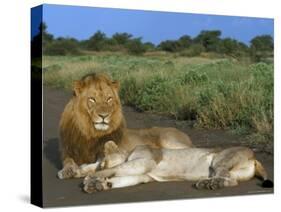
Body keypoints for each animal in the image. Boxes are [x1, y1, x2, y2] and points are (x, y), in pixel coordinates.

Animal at [57, 73, 191, 179]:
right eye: (92, 99)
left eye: (109, 99)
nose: (104, 116)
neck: (90, 133)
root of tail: (184, 134)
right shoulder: (68, 152)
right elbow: (69, 162)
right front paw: (69, 171)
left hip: (169, 141)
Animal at [82, 141, 272, 192]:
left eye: (101, 162)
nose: (96, 168)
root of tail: (254, 157)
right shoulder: (143, 175)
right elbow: (122, 179)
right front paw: (101, 185)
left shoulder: (145, 162)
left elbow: (114, 169)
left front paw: (91, 179)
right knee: (231, 179)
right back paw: (208, 183)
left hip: (220, 159)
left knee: (229, 179)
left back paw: (208, 184)